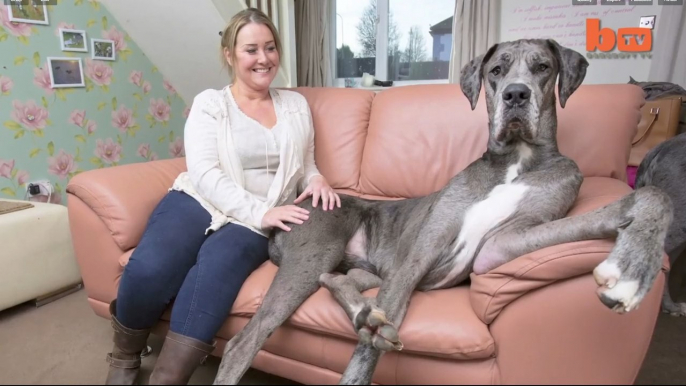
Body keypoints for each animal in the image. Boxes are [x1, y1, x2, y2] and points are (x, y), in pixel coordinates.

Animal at [212, 37, 676, 384]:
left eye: (543, 67)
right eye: (496, 71)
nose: (516, 94)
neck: (515, 160)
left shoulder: (503, 243)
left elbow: (651, 195)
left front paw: (633, 267)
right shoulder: (418, 256)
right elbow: (364, 354)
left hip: (356, 267)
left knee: (339, 280)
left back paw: (364, 312)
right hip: (316, 254)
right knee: (241, 343)